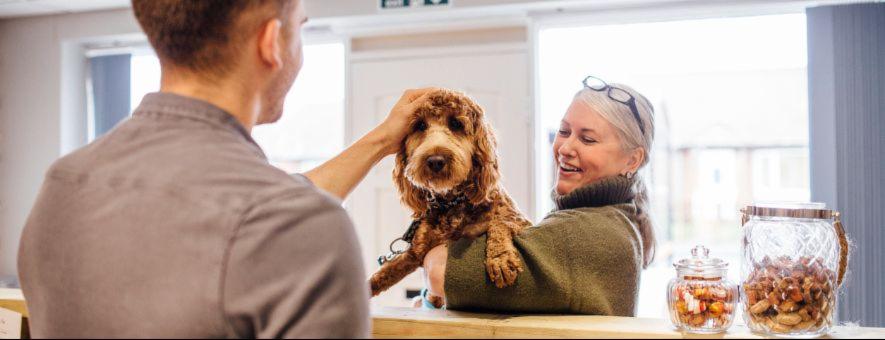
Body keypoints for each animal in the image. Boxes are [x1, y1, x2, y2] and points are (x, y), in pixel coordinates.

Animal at [368, 88, 528, 306]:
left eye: (456, 124)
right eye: (420, 125)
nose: (435, 160)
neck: (451, 201)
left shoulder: (521, 221)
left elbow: (500, 222)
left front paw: (500, 259)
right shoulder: (416, 252)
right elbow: (385, 273)